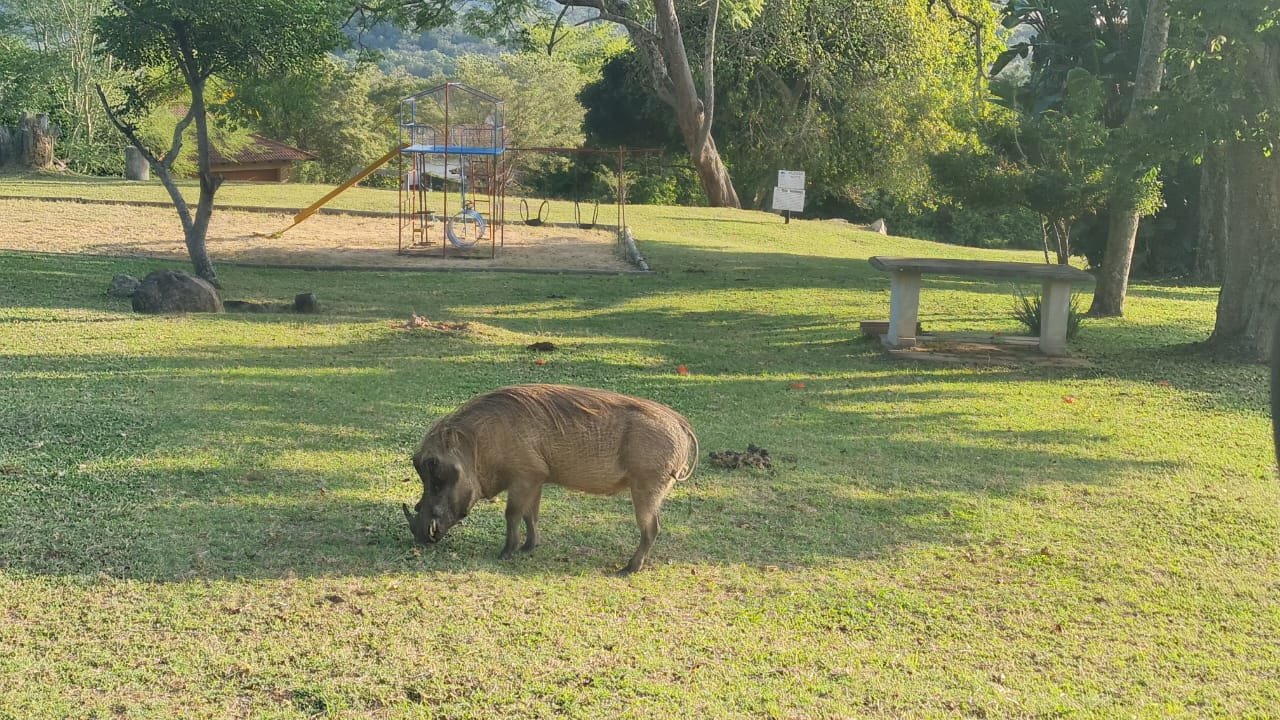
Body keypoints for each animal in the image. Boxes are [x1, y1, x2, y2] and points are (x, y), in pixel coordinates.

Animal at [402, 384, 699, 575]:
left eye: (436, 471)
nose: (421, 537)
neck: (477, 445)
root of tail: (681, 424)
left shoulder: (523, 477)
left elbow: (512, 514)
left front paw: (506, 553)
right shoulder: (536, 479)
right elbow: (530, 515)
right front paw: (528, 548)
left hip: (647, 487)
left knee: (651, 529)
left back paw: (629, 569)